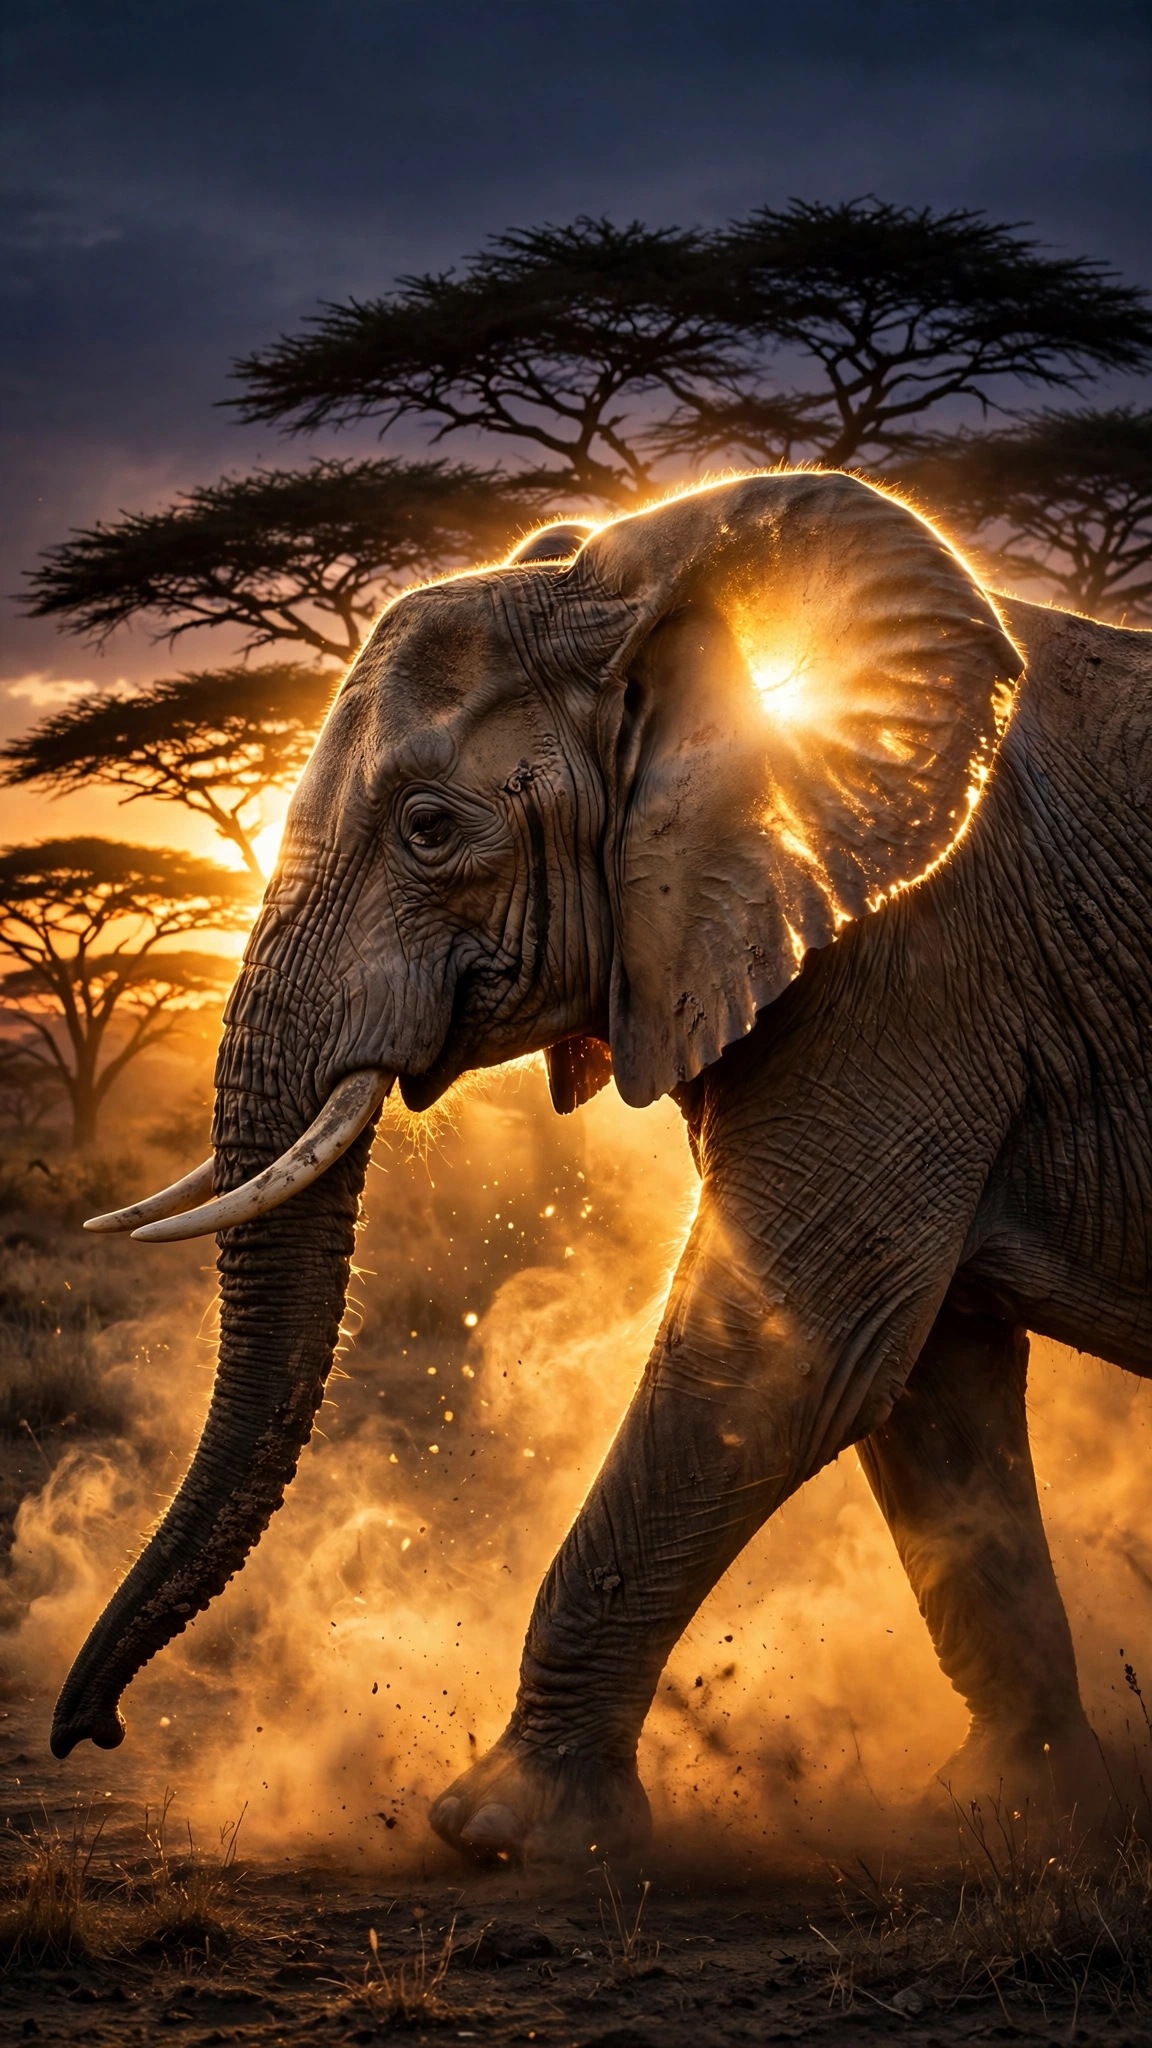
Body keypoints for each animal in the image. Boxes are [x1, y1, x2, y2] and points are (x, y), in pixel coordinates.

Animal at [56, 470, 1150, 1865]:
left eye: (428, 828)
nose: (93, 1732)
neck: (659, 589)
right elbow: (927, 1383)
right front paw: (1021, 1807)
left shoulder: (915, 966)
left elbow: (788, 1351)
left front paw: (496, 1829)